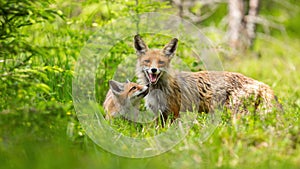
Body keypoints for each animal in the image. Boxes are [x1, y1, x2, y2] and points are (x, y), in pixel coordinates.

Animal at [134, 34, 282, 120]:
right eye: (147, 61)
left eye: (161, 62)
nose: (154, 70)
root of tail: (260, 83)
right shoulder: (159, 115)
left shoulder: (174, 113)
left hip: (236, 113)